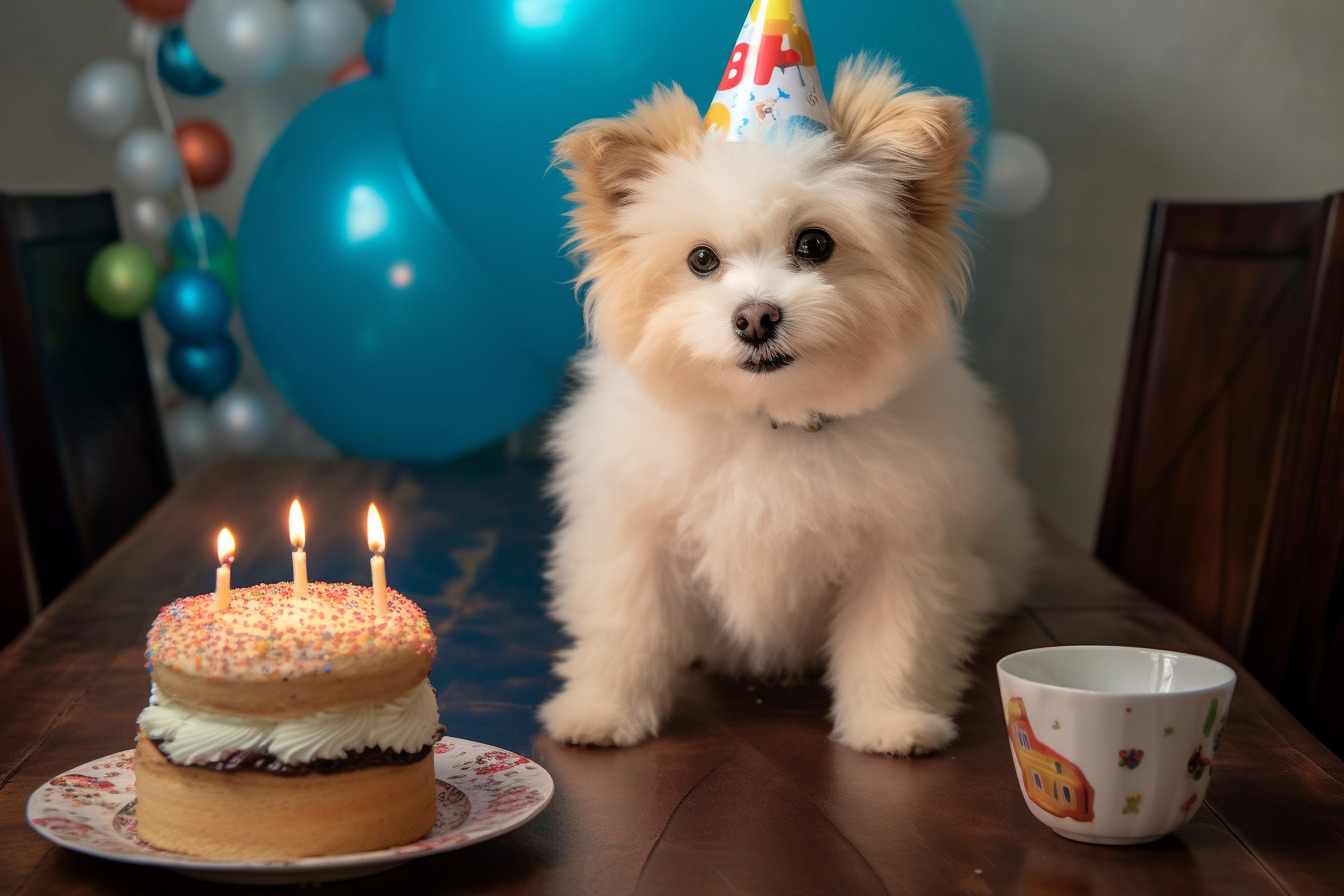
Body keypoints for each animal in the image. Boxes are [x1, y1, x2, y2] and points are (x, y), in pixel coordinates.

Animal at [540, 57, 1032, 757]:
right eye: (701, 259)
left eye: (816, 244)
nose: (755, 317)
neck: (772, 418)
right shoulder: (637, 538)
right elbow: (625, 629)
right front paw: (603, 711)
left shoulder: (902, 552)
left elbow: (894, 641)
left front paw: (892, 721)